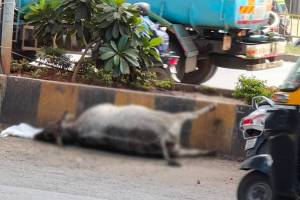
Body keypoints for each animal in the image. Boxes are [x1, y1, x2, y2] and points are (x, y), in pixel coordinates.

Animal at [35, 103, 216, 166]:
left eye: (48, 131)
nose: (37, 136)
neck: (75, 131)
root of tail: (161, 137)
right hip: (174, 118)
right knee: (193, 114)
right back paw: (211, 107)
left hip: (175, 148)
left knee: (192, 152)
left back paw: (210, 152)